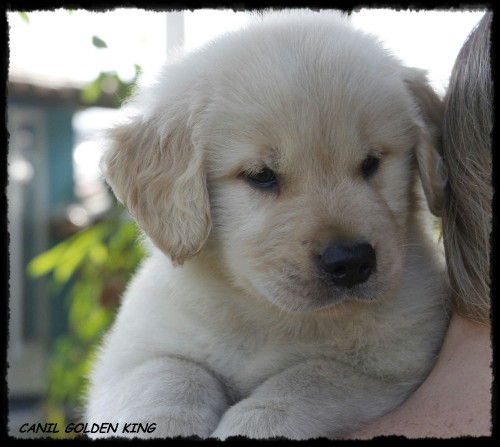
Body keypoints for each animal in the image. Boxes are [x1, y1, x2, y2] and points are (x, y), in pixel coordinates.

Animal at [86, 9, 450, 440]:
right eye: (261, 175)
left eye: (371, 163)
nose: (350, 262)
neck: (264, 315)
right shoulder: (132, 358)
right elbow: (170, 375)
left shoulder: (391, 366)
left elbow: (303, 382)